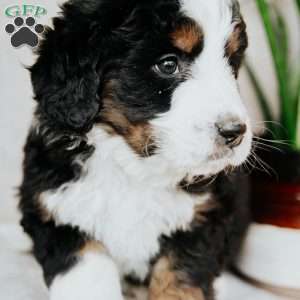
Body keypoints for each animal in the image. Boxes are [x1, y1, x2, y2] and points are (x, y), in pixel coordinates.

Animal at [19, 1, 252, 298]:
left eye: (231, 62)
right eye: (168, 65)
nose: (234, 132)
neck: (133, 166)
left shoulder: (202, 219)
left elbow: (180, 279)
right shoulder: (59, 213)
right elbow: (88, 278)